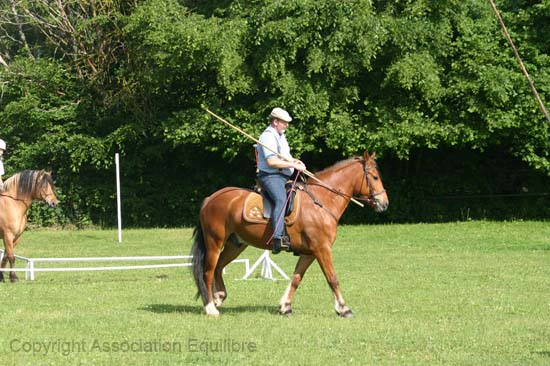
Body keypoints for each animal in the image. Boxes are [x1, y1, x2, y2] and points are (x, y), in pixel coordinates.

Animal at [192, 152, 390, 318]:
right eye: (374, 177)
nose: (384, 203)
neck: (321, 201)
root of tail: (211, 199)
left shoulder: (309, 253)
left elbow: (296, 278)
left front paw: (285, 306)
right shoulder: (322, 249)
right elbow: (332, 278)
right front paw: (344, 308)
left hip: (236, 244)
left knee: (218, 267)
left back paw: (218, 297)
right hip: (215, 242)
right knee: (208, 271)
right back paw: (210, 307)